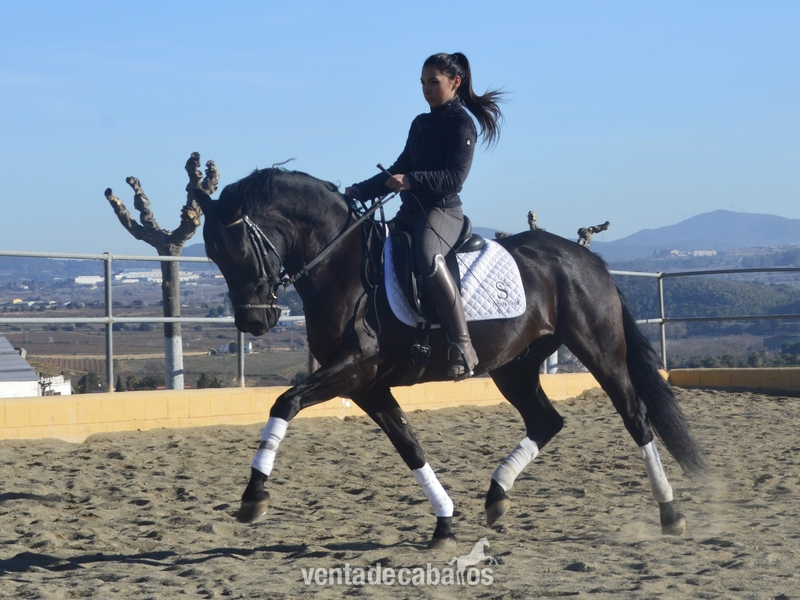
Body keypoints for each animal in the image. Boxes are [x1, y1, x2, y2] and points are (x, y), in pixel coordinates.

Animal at [192, 167, 706, 551]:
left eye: (239, 248)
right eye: (213, 254)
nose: (254, 322)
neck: (341, 264)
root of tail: (587, 261)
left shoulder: (353, 369)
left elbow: (285, 402)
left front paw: (253, 497)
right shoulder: (367, 384)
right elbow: (410, 446)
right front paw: (444, 524)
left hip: (599, 351)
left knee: (636, 417)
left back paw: (670, 514)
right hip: (514, 365)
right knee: (546, 421)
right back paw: (496, 498)